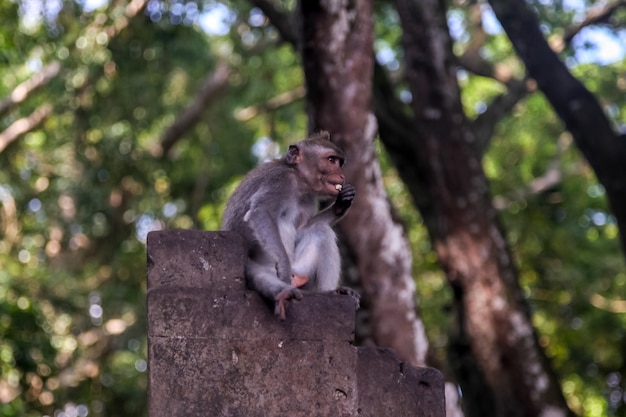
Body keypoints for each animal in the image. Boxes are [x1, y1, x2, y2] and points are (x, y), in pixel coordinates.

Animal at [221, 132, 356, 320]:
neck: (299, 180)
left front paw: (341, 204)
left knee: (321, 230)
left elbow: (303, 230)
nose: (342, 176)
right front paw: (284, 267)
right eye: (331, 160)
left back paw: (330, 292)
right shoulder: (281, 180)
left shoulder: (308, 198)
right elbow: (260, 212)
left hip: (301, 269)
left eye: (339, 162)